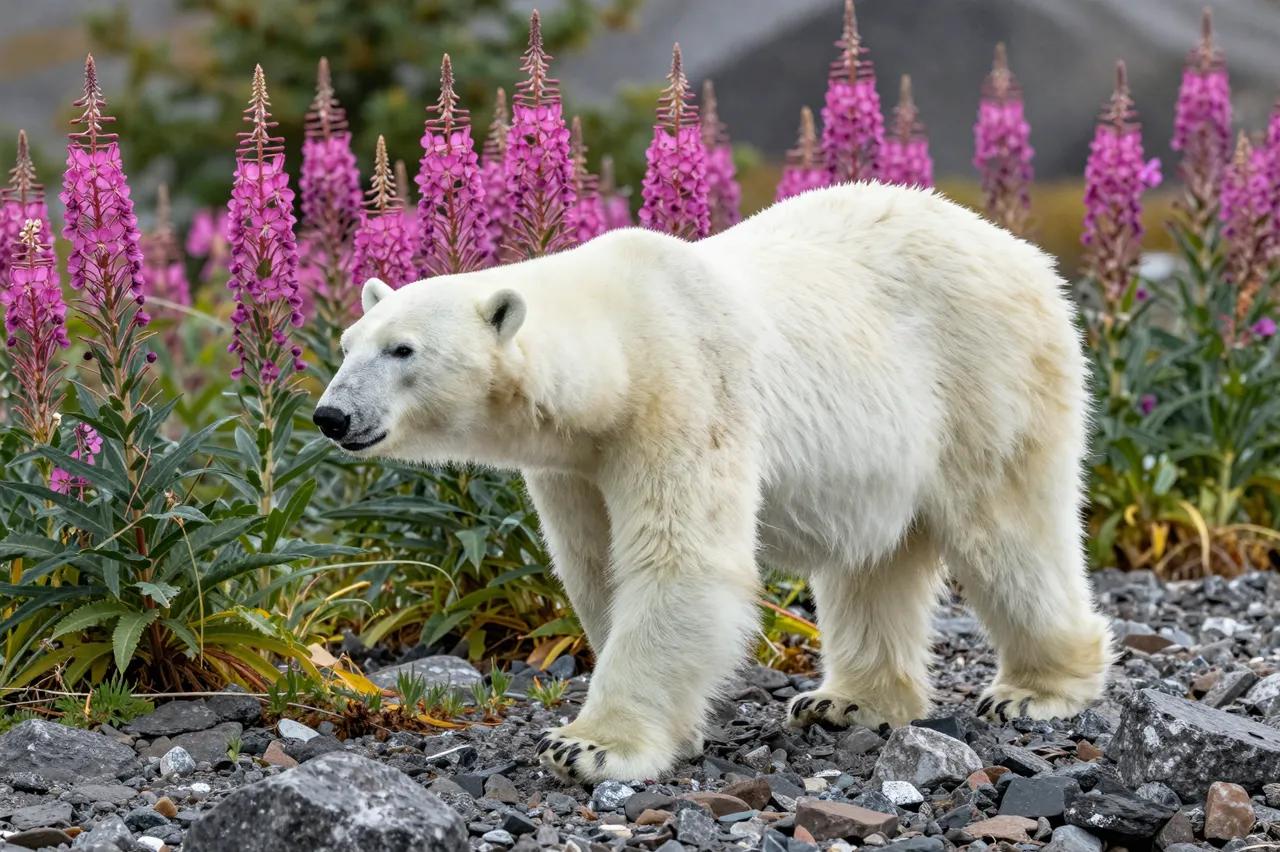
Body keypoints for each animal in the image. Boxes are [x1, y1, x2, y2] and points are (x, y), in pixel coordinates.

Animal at [313, 181, 1116, 785]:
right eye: (349, 344)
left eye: (403, 349)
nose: (331, 414)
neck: (620, 339)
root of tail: (1024, 254)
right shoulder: (575, 461)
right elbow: (595, 567)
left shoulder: (684, 392)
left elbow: (680, 561)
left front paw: (587, 746)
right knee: (873, 562)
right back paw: (847, 702)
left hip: (984, 376)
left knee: (1008, 530)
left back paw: (1035, 692)